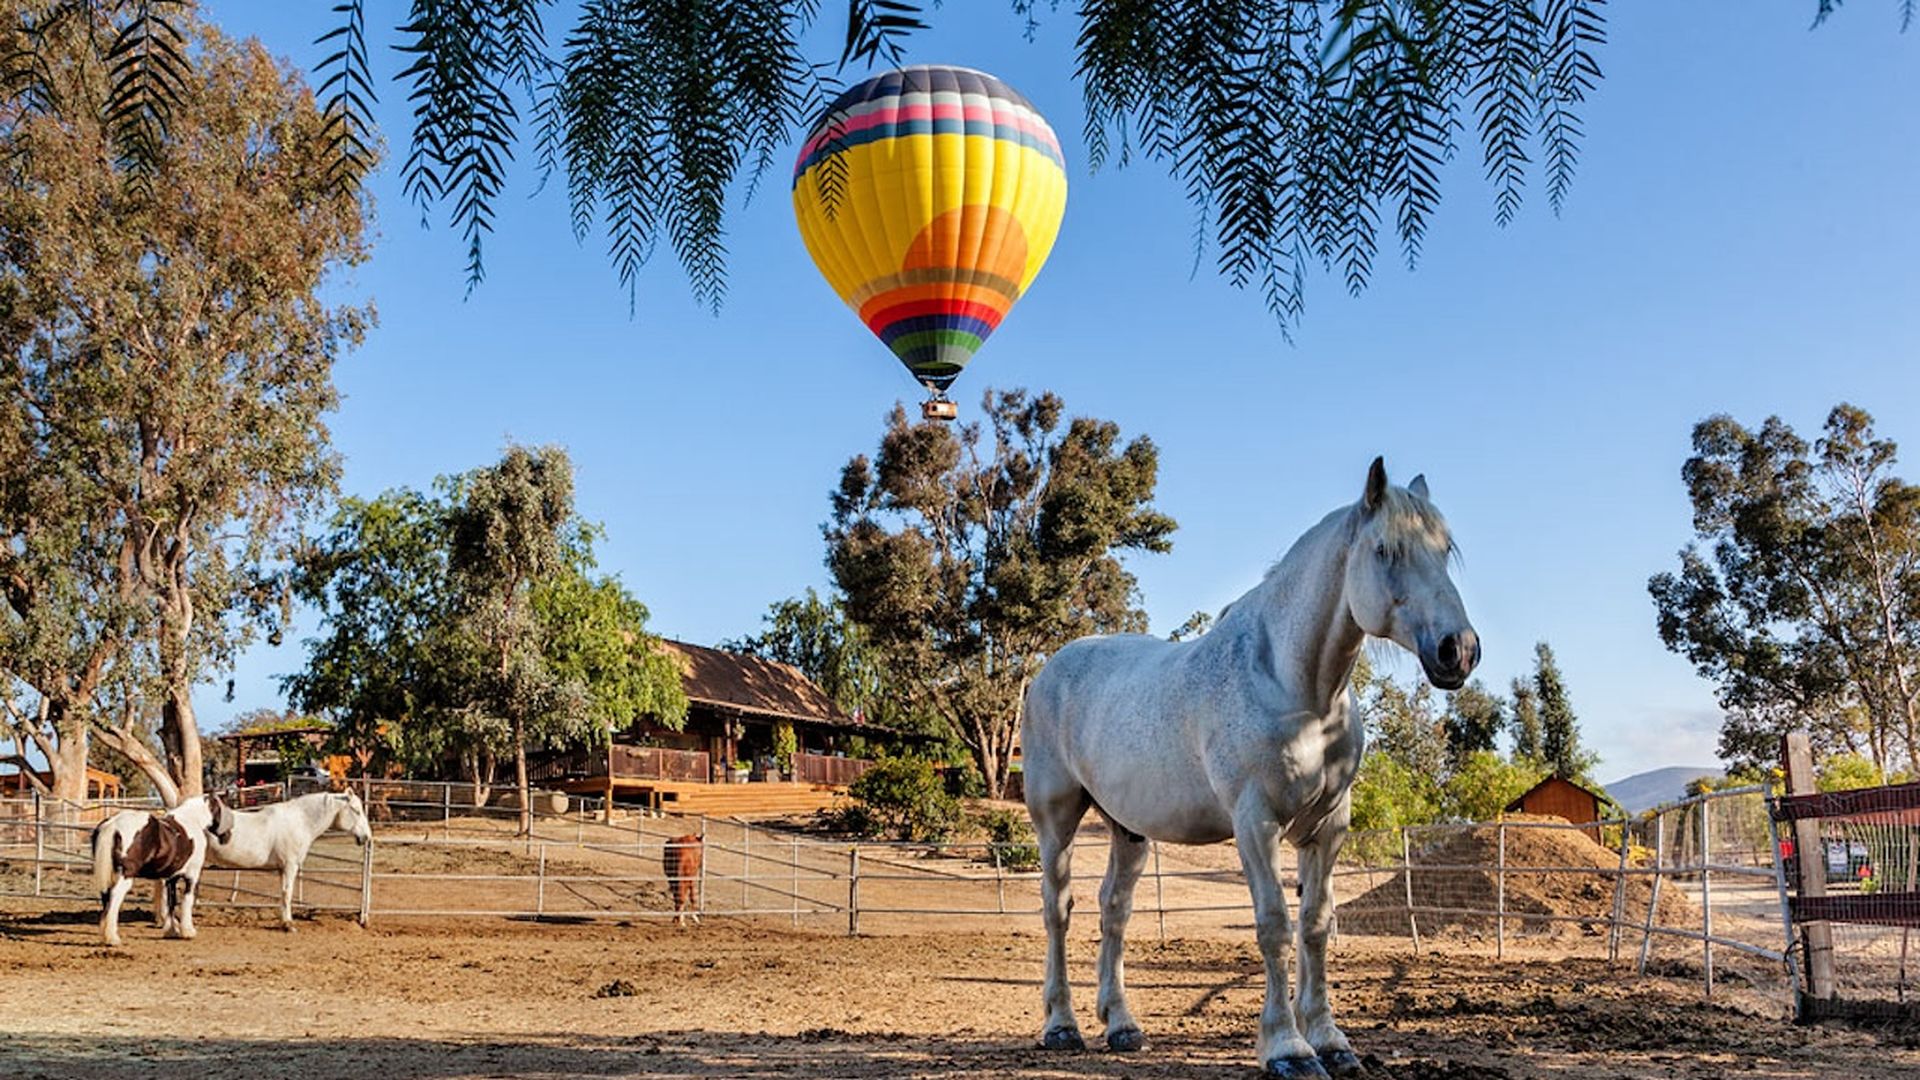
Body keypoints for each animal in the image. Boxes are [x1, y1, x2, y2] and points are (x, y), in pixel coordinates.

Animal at [91, 794, 236, 947]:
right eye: (227, 806)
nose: (227, 836)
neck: (192, 820)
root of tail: (113, 824)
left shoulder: (170, 878)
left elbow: (170, 902)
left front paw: (171, 931)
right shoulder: (192, 876)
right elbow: (187, 900)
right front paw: (188, 931)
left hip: (109, 874)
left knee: (106, 897)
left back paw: (105, 936)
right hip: (125, 876)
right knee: (114, 897)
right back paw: (113, 938)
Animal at [202, 789, 373, 931]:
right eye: (356, 810)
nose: (367, 837)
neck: (300, 821)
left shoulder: (281, 869)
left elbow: (283, 892)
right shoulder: (290, 866)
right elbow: (287, 893)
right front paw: (288, 924)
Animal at [1022, 459, 1479, 1080]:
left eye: (1445, 549)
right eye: (1386, 549)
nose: (1460, 649)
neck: (1295, 687)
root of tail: (1050, 670)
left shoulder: (1327, 828)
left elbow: (1316, 925)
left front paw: (1331, 1041)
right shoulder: (1256, 823)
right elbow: (1275, 926)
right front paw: (1288, 1048)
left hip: (1128, 831)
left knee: (1114, 911)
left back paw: (1121, 1026)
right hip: (1057, 820)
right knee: (1058, 911)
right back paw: (1062, 1026)